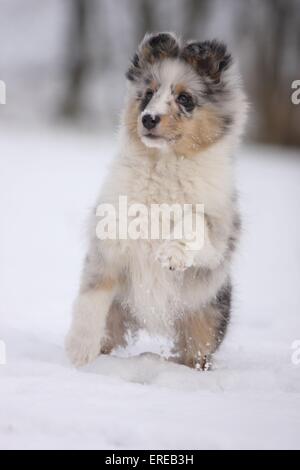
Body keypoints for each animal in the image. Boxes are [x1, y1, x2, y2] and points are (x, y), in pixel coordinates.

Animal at [65, 33, 246, 370]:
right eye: (148, 94)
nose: (148, 119)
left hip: (204, 326)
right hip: (117, 317)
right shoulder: (109, 237)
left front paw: (173, 253)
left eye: (185, 99)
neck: (164, 164)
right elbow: (92, 295)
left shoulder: (218, 236)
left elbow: (194, 224)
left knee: (194, 356)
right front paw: (79, 350)